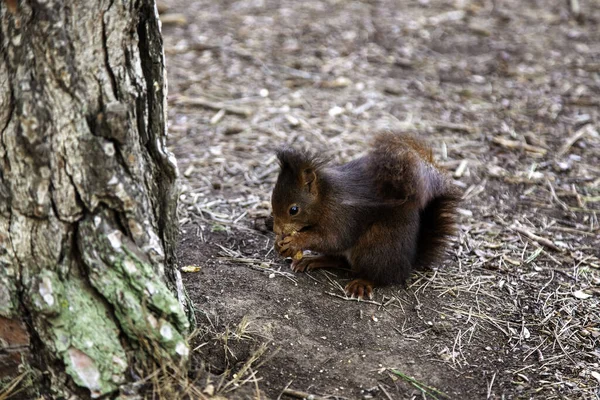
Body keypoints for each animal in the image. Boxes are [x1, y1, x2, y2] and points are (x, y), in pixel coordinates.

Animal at [270, 133, 462, 298]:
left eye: (294, 209)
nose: (276, 230)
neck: (325, 197)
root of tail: (409, 262)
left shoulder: (342, 215)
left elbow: (333, 239)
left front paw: (296, 242)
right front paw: (280, 243)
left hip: (376, 248)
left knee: (381, 276)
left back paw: (362, 283)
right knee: (340, 260)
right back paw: (313, 260)